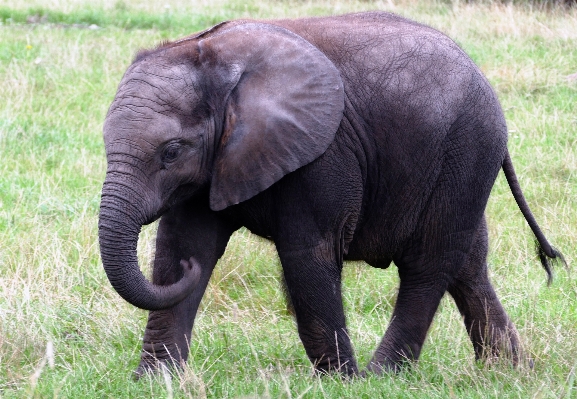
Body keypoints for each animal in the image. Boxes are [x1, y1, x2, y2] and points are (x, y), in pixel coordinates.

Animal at [99, 10, 564, 376]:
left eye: (171, 152)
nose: (192, 271)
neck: (212, 59)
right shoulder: (214, 164)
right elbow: (183, 244)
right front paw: (156, 381)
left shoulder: (324, 154)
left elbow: (309, 254)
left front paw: (340, 381)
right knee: (468, 265)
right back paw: (507, 372)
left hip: (466, 148)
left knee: (428, 265)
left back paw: (381, 376)